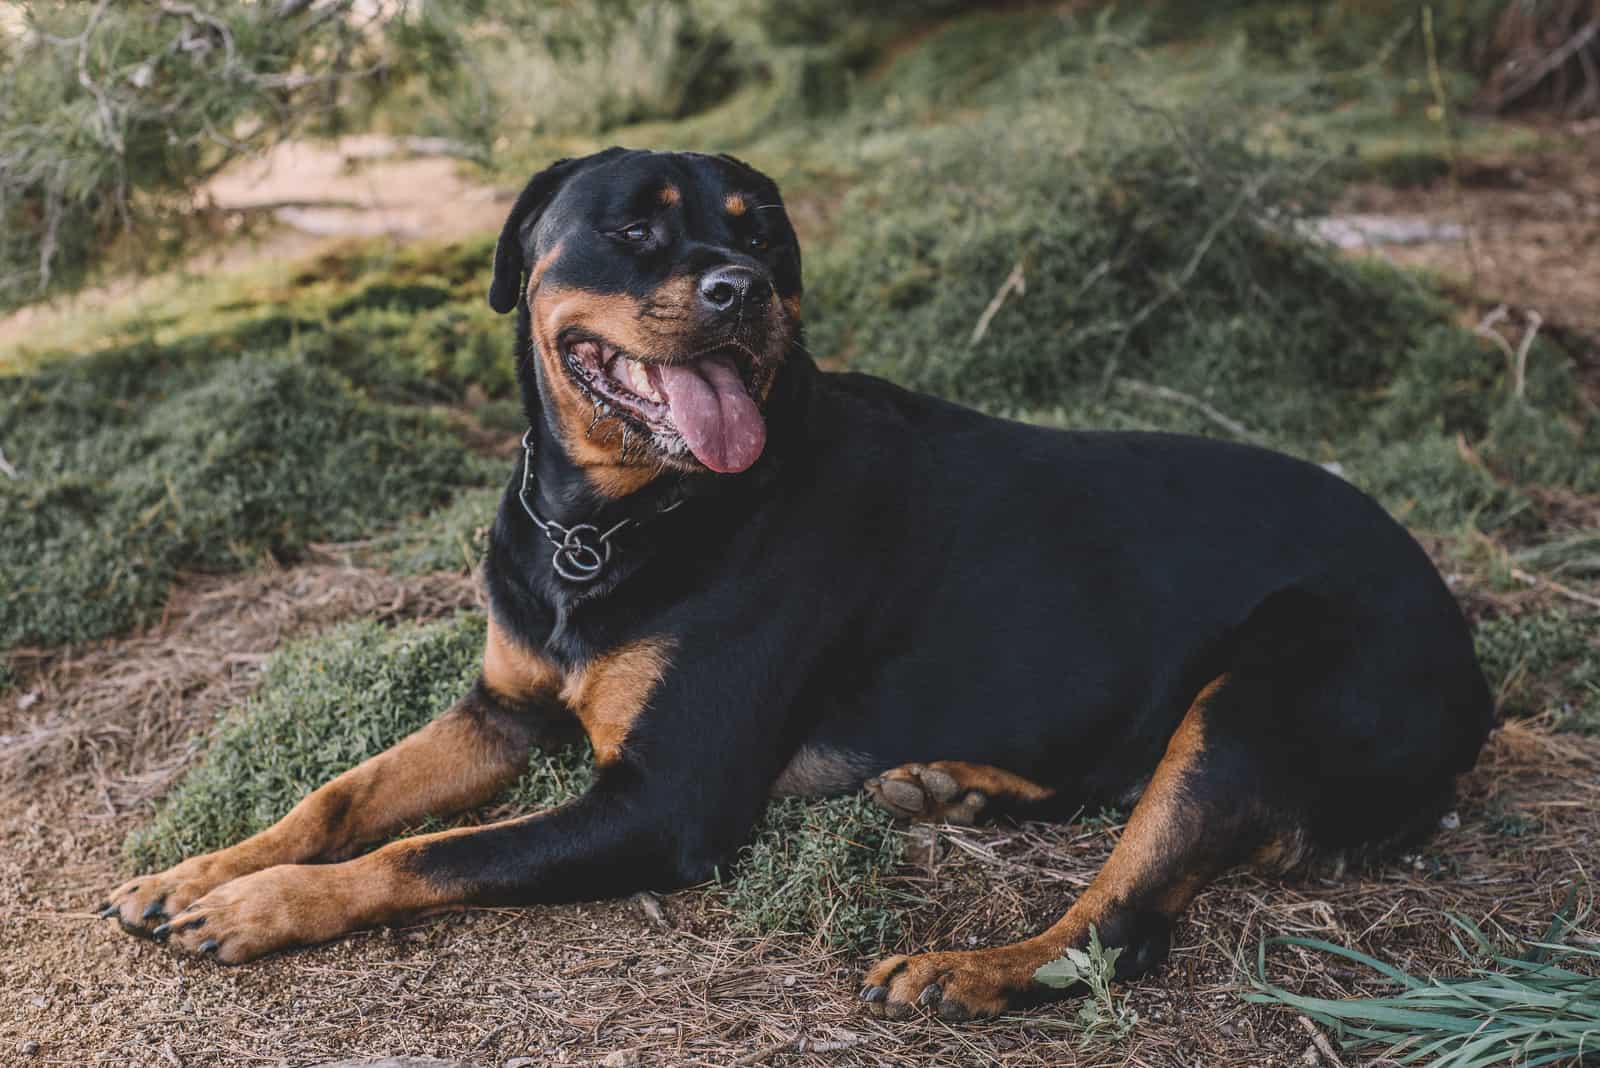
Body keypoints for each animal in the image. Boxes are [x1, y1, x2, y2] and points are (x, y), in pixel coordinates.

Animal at [100, 146, 1497, 1023]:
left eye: (764, 231)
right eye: (636, 225)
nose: (744, 288)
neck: (610, 523)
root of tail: (1472, 666)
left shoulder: (664, 803)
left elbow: (428, 850)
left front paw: (263, 904)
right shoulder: (501, 710)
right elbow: (344, 795)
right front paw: (200, 869)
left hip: (1264, 684)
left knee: (1122, 919)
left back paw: (968, 969)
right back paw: (954, 786)